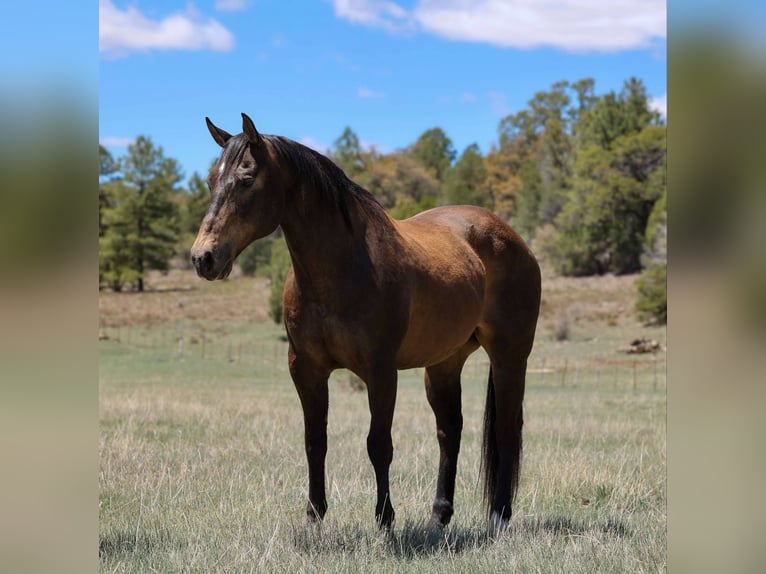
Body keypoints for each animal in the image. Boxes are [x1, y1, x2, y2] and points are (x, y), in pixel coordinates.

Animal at [191, 114, 541, 535]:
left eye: (246, 179)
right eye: (211, 180)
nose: (203, 257)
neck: (342, 268)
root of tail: (511, 237)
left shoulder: (380, 370)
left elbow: (379, 444)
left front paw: (385, 519)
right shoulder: (305, 369)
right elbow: (315, 442)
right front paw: (314, 517)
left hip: (510, 356)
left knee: (506, 428)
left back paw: (498, 517)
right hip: (444, 363)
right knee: (449, 431)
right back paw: (438, 517)